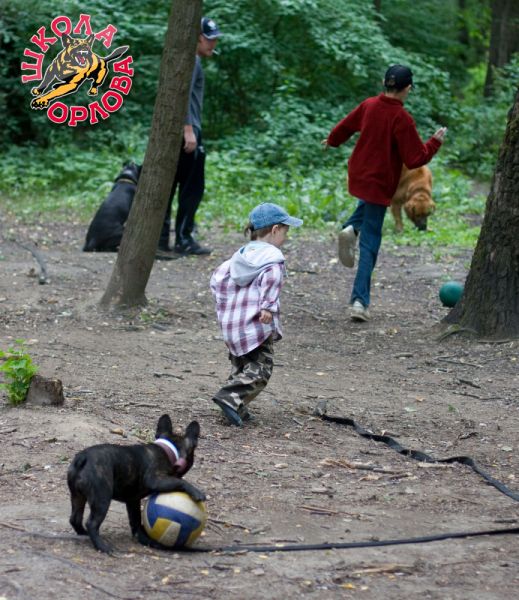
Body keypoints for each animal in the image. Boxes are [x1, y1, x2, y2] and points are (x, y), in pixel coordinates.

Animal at [67, 414, 205, 554]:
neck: (170, 450)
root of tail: (83, 457)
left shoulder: (132, 500)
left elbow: (136, 519)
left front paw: (142, 537)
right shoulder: (155, 479)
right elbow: (179, 481)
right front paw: (196, 491)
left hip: (77, 496)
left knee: (75, 518)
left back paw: (84, 534)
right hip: (102, 497)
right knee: (92, 523)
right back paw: (103, 546)